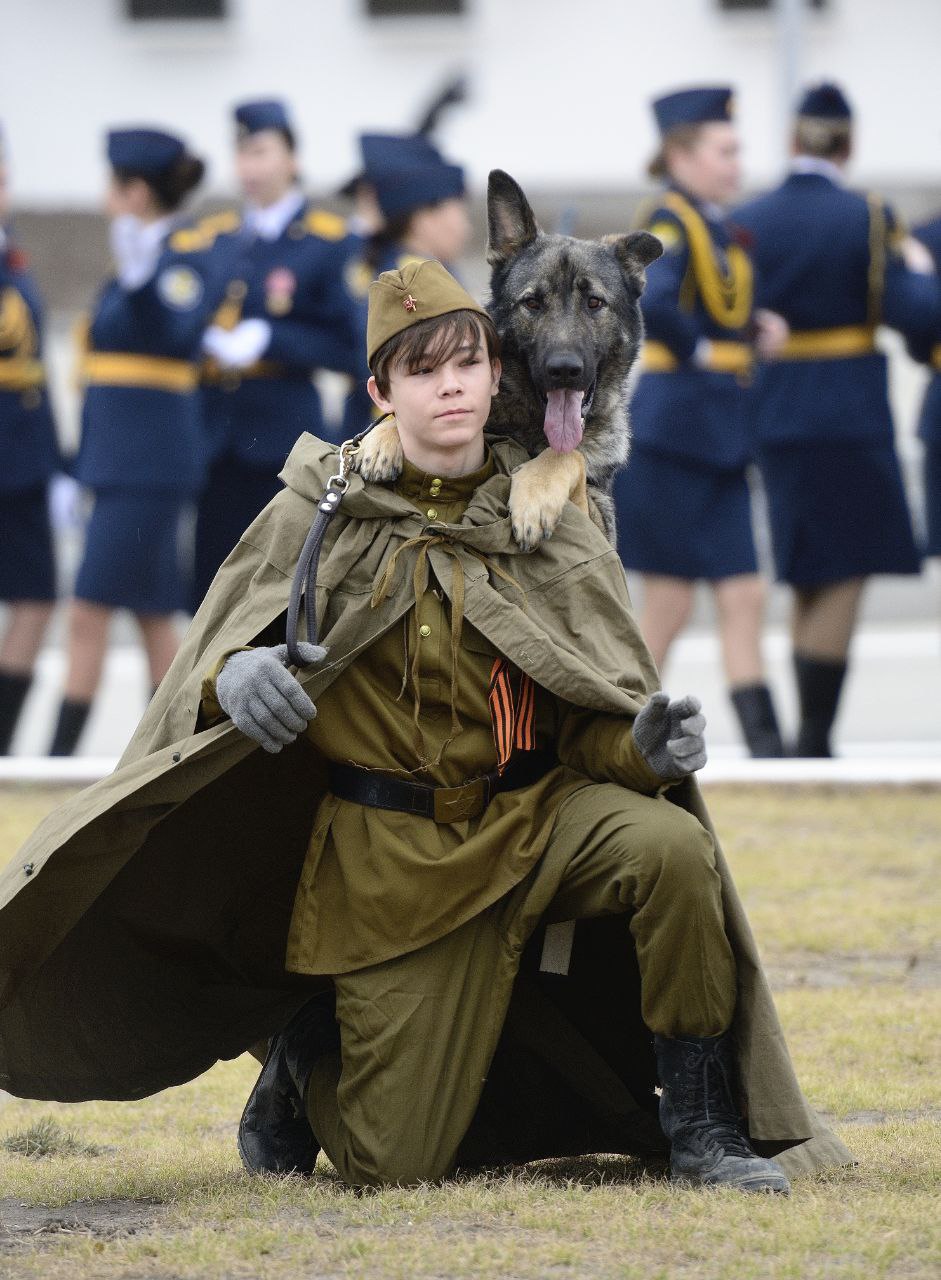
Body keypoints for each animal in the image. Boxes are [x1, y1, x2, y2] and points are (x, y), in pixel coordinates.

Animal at [355, 167, 660, 547]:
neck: (530, 430)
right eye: (532, 302)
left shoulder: (600, 523)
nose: (564, 370)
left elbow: (568, 454)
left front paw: (535, 494)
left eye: (594, 303)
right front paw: (385, 436)